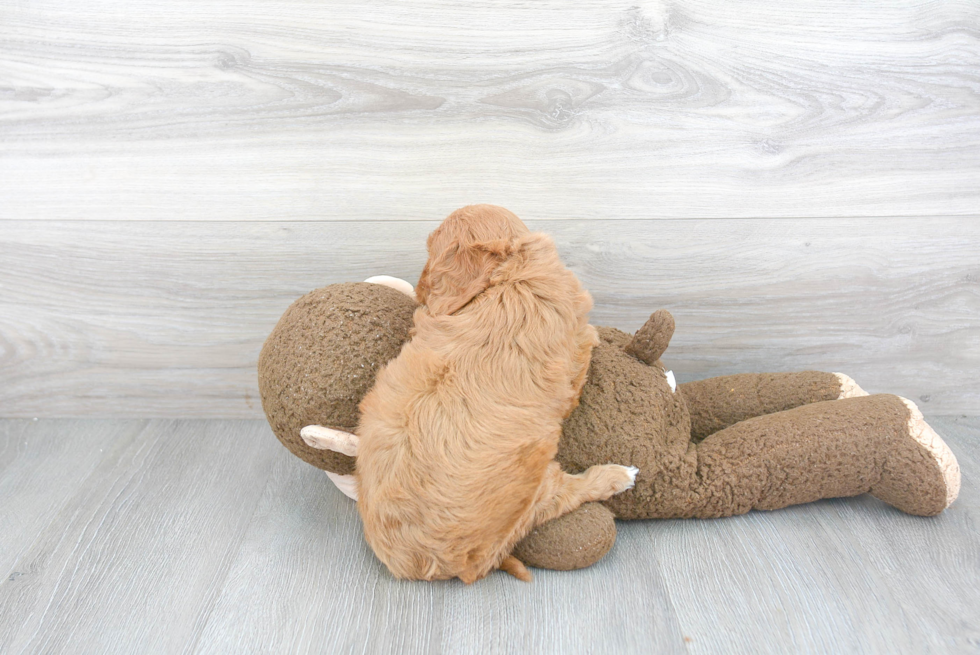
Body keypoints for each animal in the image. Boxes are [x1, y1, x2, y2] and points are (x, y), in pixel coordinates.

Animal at [352, 205, 636, 584]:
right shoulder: (575, 343)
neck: (507, 277)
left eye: (431, 253)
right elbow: (587, 345)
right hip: (532, 486)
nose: (420, 290)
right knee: (562, 496)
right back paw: (618, 476)